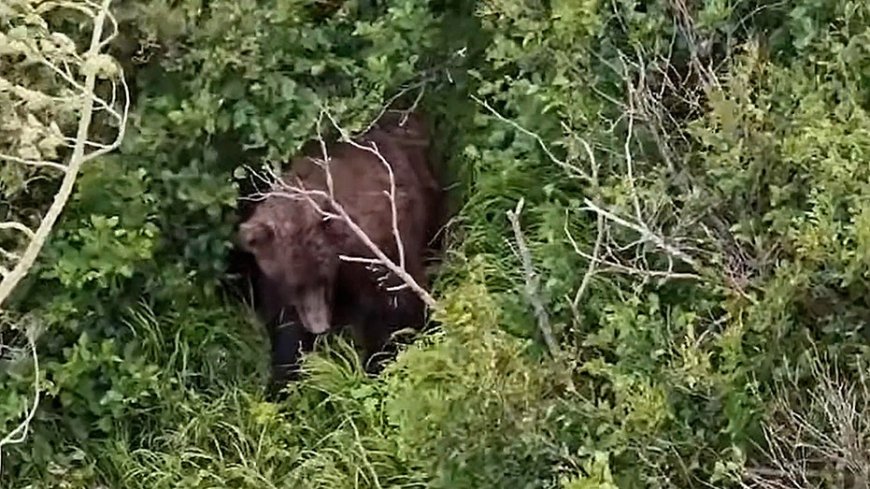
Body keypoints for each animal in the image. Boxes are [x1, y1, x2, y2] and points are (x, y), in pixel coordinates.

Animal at [236, 110, 443, 399]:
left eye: (321, 277)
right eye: (293, 284)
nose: (319, 326)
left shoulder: (375, 249)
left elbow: (395, 307)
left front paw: (378, 364)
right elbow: (285, 328)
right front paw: (281, 382)